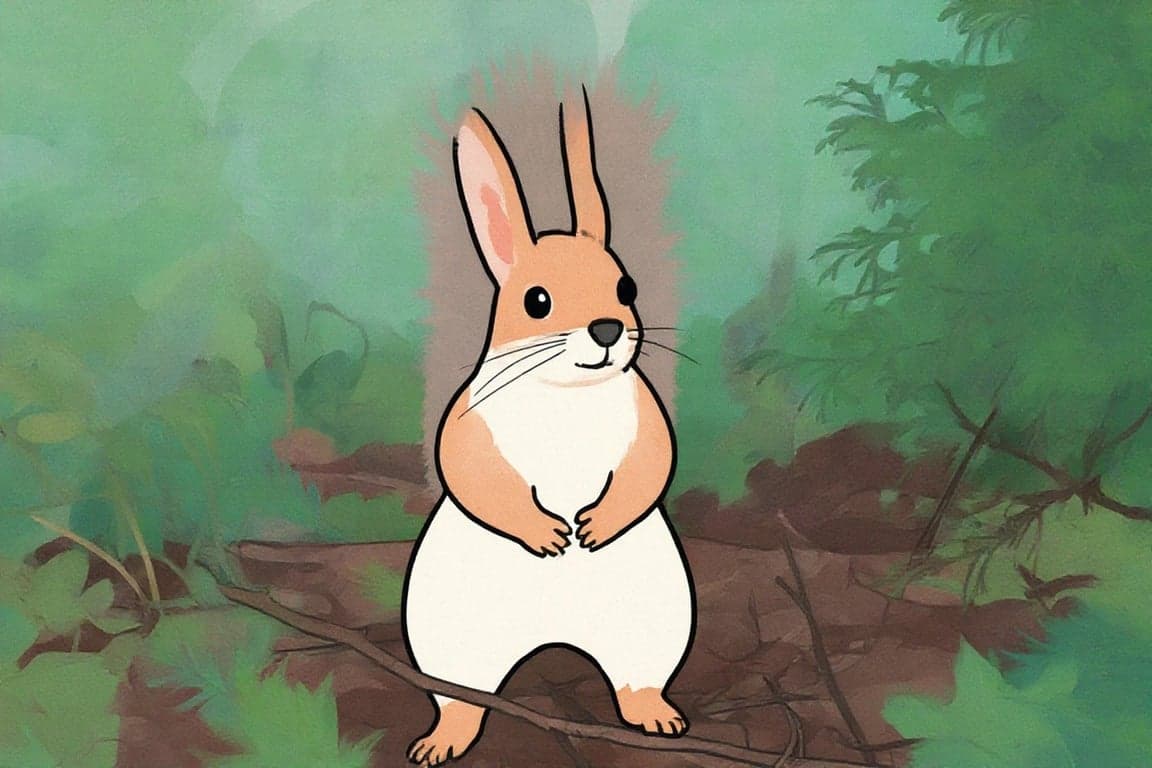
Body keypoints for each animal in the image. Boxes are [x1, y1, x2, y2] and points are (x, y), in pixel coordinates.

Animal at [403, 62, 695, 767]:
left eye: (627, 287)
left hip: (652, 627)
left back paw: (655, 715)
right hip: (451, 641)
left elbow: (651, 466)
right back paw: (444, 739)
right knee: (461, 699)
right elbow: (470, 471)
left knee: (637, 680)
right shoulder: (471, 421)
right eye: (537, 301)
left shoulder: (644, 415)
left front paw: (594, 527)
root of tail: (555, 641)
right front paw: (547, 534)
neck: (567, 394)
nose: (609, 328)